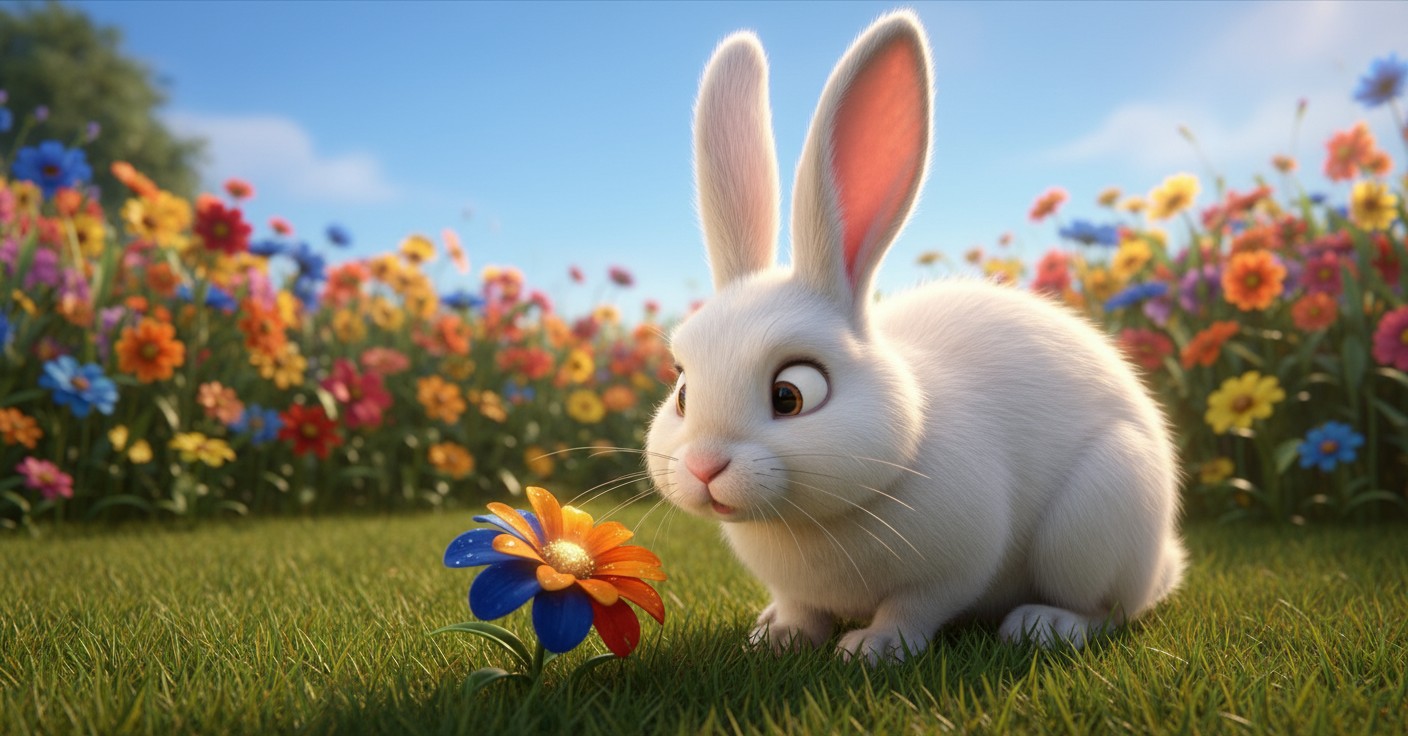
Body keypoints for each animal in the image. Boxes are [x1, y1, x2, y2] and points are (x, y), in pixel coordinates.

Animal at [644, 9, 1186, 663]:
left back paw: (1044, 626)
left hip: (1099, 518)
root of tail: (1162, 560)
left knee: (1109, 608)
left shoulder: (954, 568)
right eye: (682, 391)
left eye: (791, 394)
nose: (704, 467)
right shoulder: (799, 586)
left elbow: (913, 609)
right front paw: (778, 637)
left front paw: (871, 649)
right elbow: (801, 607)